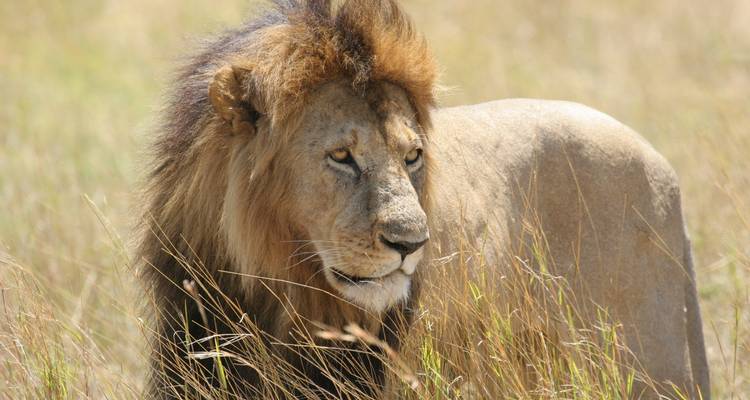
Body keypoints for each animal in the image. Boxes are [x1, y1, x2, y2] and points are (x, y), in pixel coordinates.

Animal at [138, 0, 709, 399]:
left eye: (412, 156)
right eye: (342, 156)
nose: (412, 244)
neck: (274, 286)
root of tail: (661, 165)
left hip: (649, 365)